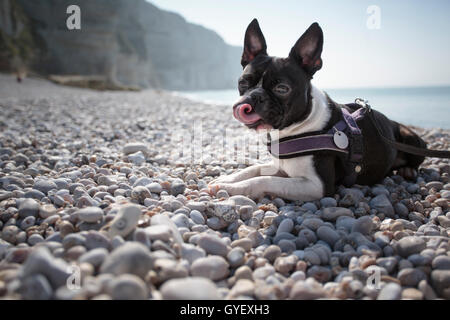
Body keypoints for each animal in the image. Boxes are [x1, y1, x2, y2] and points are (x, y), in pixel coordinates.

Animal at [209, 19, 428, 200]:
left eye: (282, 89)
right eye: (243, 83)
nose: (252, 97)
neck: (296, 128)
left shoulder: (317, 186)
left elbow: (263, 180)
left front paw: (231, 189)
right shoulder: (279, 166)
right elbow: (253, 169)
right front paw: (227, 179)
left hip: (410, 137)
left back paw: (408, 170)